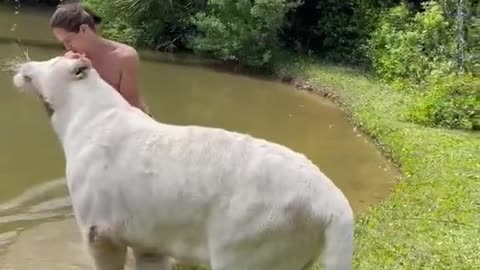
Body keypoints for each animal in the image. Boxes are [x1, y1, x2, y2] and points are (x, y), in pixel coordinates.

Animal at [10, 55, 356, 270]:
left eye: (53, 60)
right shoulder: (149, 241)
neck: (83, 112)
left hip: (243, 253)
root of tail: (333, 200)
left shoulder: (99, 234)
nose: (24, 64)